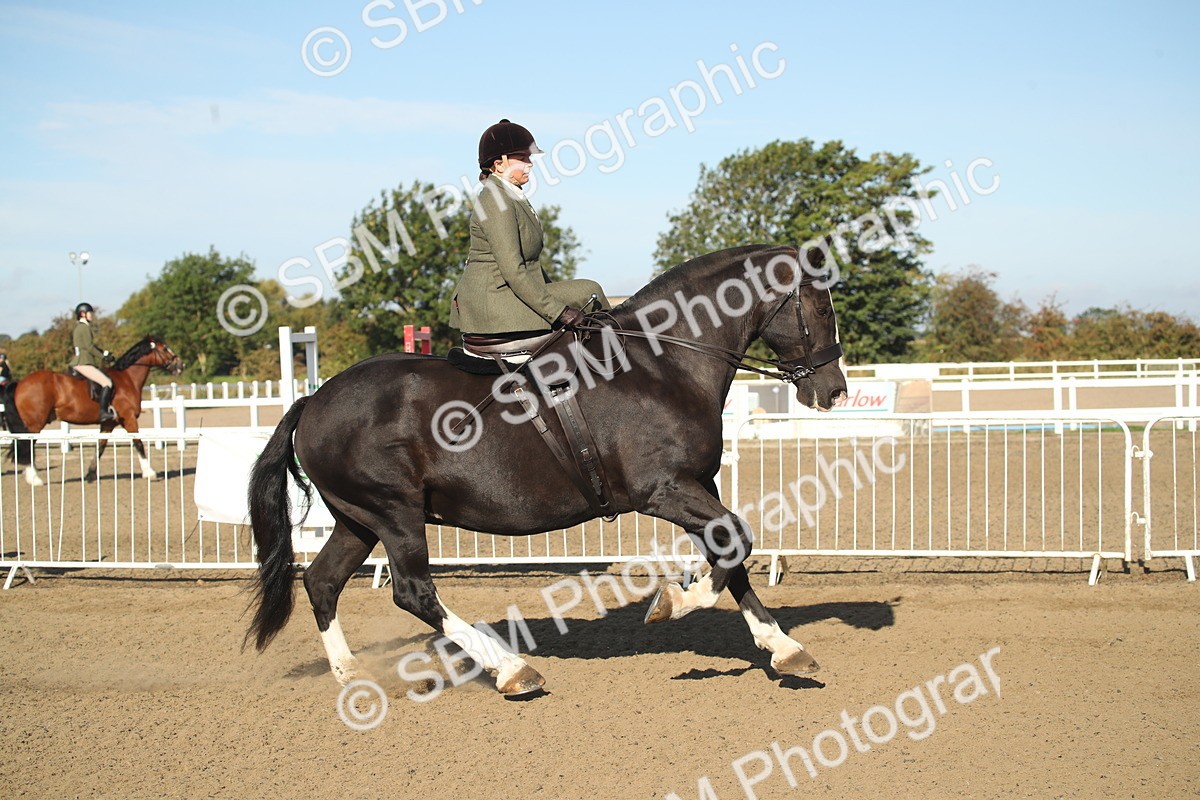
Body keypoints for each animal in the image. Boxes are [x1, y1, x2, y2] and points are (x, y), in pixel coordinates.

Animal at [1, 335, 184, 486]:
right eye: (164, 349)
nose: (181, 365)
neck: (127, 378)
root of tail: (20, 383)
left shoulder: (109, 424)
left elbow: (100, 447)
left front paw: (90, 475)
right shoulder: (129, 418)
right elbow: (138, 443)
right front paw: (150, 473)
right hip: (35, 423)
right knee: (26, 445)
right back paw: (35, 479)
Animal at [246, 244, 847, 696]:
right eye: (822, 309)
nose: (835, 392)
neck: (662, 363)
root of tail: (314, 401)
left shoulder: (699, 486)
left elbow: (732, 552)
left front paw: (784, 647)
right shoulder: (664, 490)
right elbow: (737, 541)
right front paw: (676, 602)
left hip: (359, 520)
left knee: (322, 581)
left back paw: (350, 674)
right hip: (394, 515)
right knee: (413, 592)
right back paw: (511, 670)